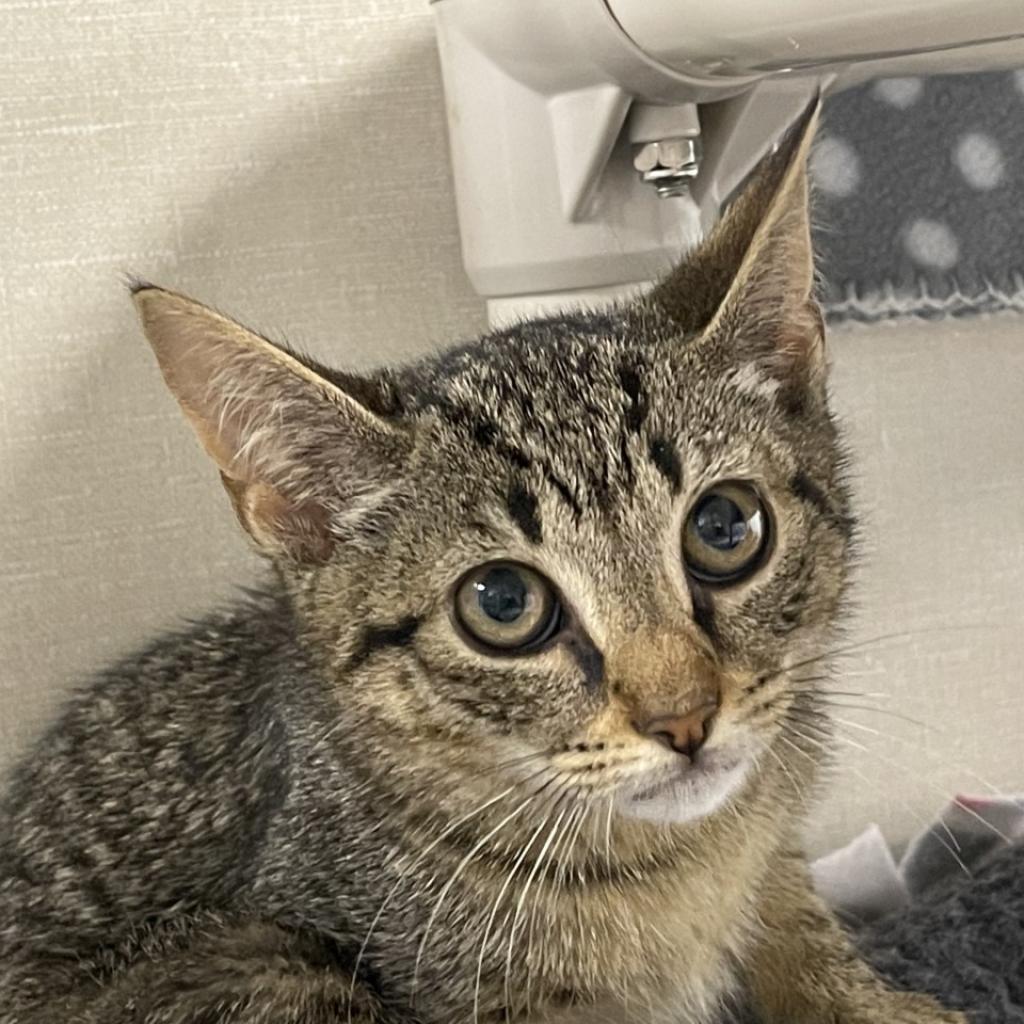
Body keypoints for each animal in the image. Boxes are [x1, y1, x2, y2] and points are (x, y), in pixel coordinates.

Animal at [0, 103, 962, 1024]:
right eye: (502, 603)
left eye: (724, 528)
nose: (685, 720)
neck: (681, 861)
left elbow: (797, 917)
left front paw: (874, 1000)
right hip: (258, 960)